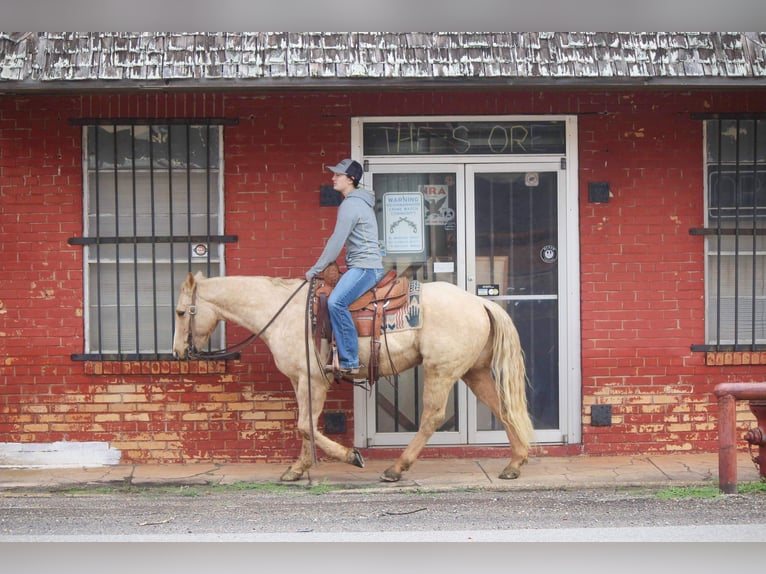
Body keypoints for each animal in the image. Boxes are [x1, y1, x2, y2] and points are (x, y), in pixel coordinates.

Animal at [173, 272, 536, 484]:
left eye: (179, 312)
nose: (177, 352)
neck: (284, 312)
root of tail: (478, 302)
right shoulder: (300, 381)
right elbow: (305, 425)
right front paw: (297, 469)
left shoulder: (313, 380)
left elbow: (306, 425)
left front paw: (351, 457)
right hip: (474, 371)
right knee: (504, 408)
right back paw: (515, 463)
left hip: (441, 370)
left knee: (432, 417)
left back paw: (396, 468)